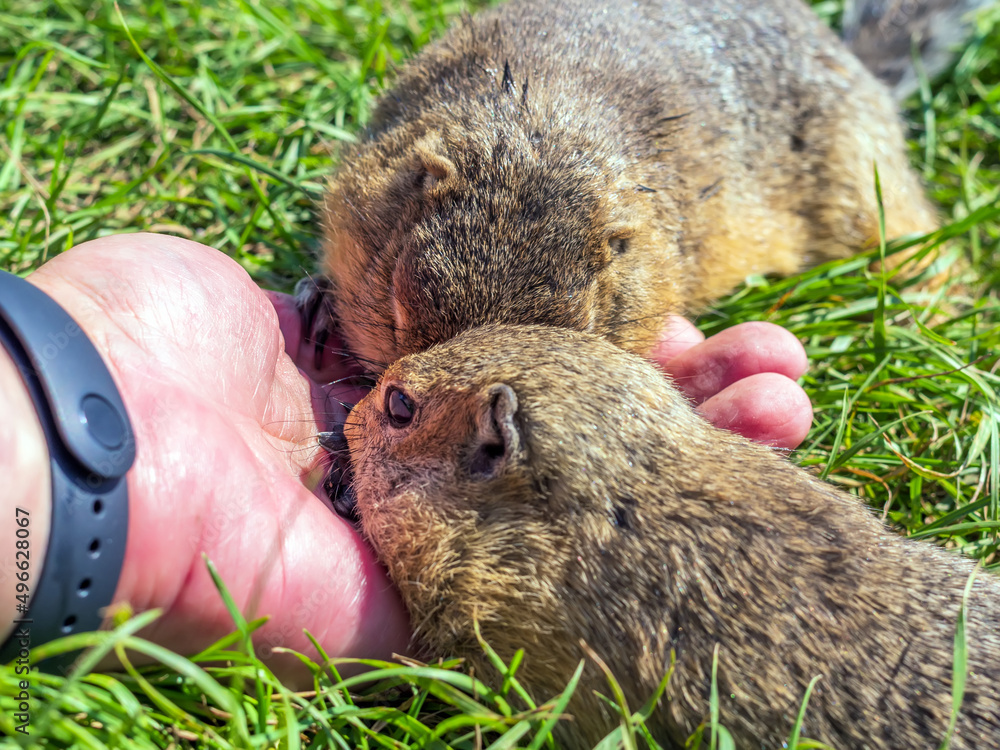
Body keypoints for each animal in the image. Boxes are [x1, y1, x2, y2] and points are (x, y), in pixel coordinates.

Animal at [300, 0, 988, 370]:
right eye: (394, 303)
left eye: (579, 330)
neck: (551, 122)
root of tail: (858, 69)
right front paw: (315, 296)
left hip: (860, 181)